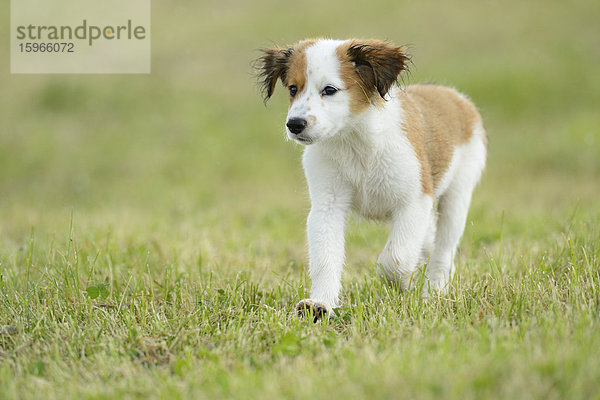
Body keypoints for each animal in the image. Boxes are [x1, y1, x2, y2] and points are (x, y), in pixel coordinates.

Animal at [256, 39, 488, 320]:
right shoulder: (327, 206)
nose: (295, 124)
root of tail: (454, 96)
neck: (356, 143)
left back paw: (434, 292)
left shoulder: (414, 201)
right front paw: (320, 304)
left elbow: (395, 258)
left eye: (330, 90)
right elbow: (325, 258)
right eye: (293, 88)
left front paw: (405, 283)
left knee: (443, 250)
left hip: (457, 196)